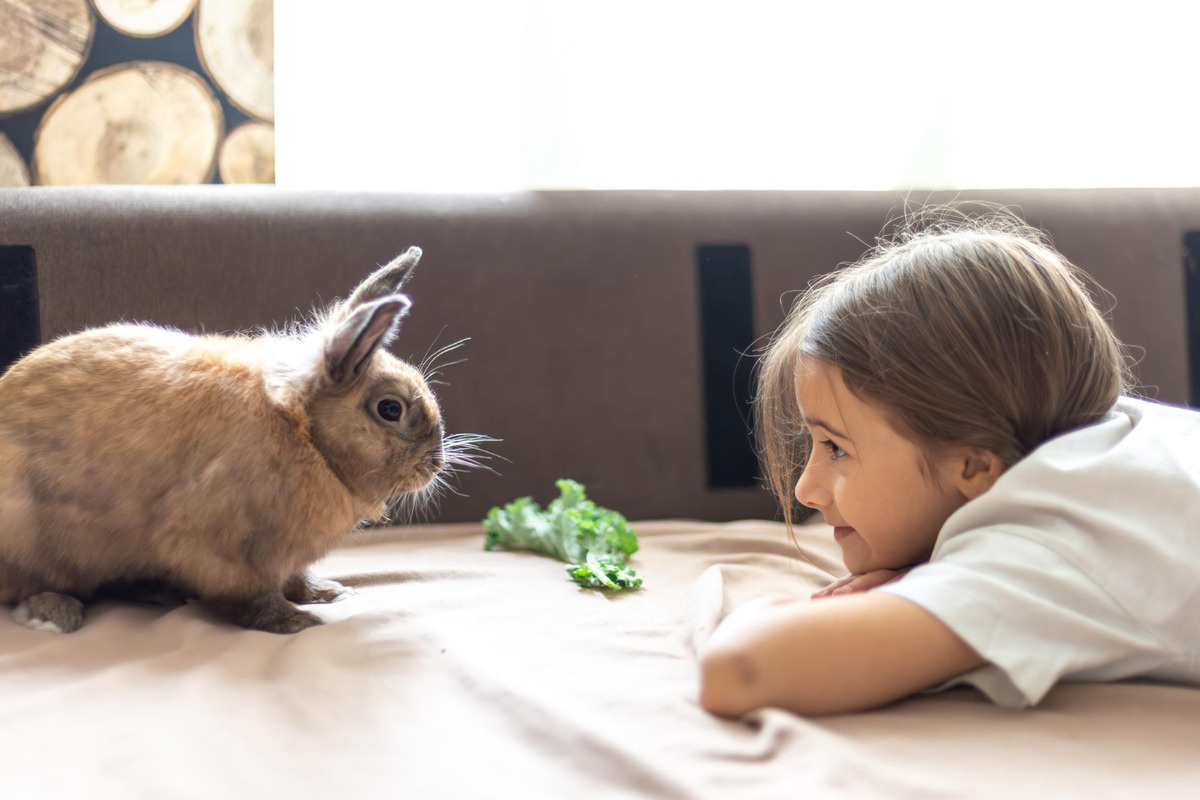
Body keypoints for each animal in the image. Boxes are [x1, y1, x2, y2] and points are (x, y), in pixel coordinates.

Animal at [0, 247, 448, 633]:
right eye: (390, 409)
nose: (436, 464)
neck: (304, 432)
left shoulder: (283, 555)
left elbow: (296, 577)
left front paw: (325, 593)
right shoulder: (229, 552)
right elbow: (253, 597)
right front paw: (295, 622)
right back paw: (56, 614)